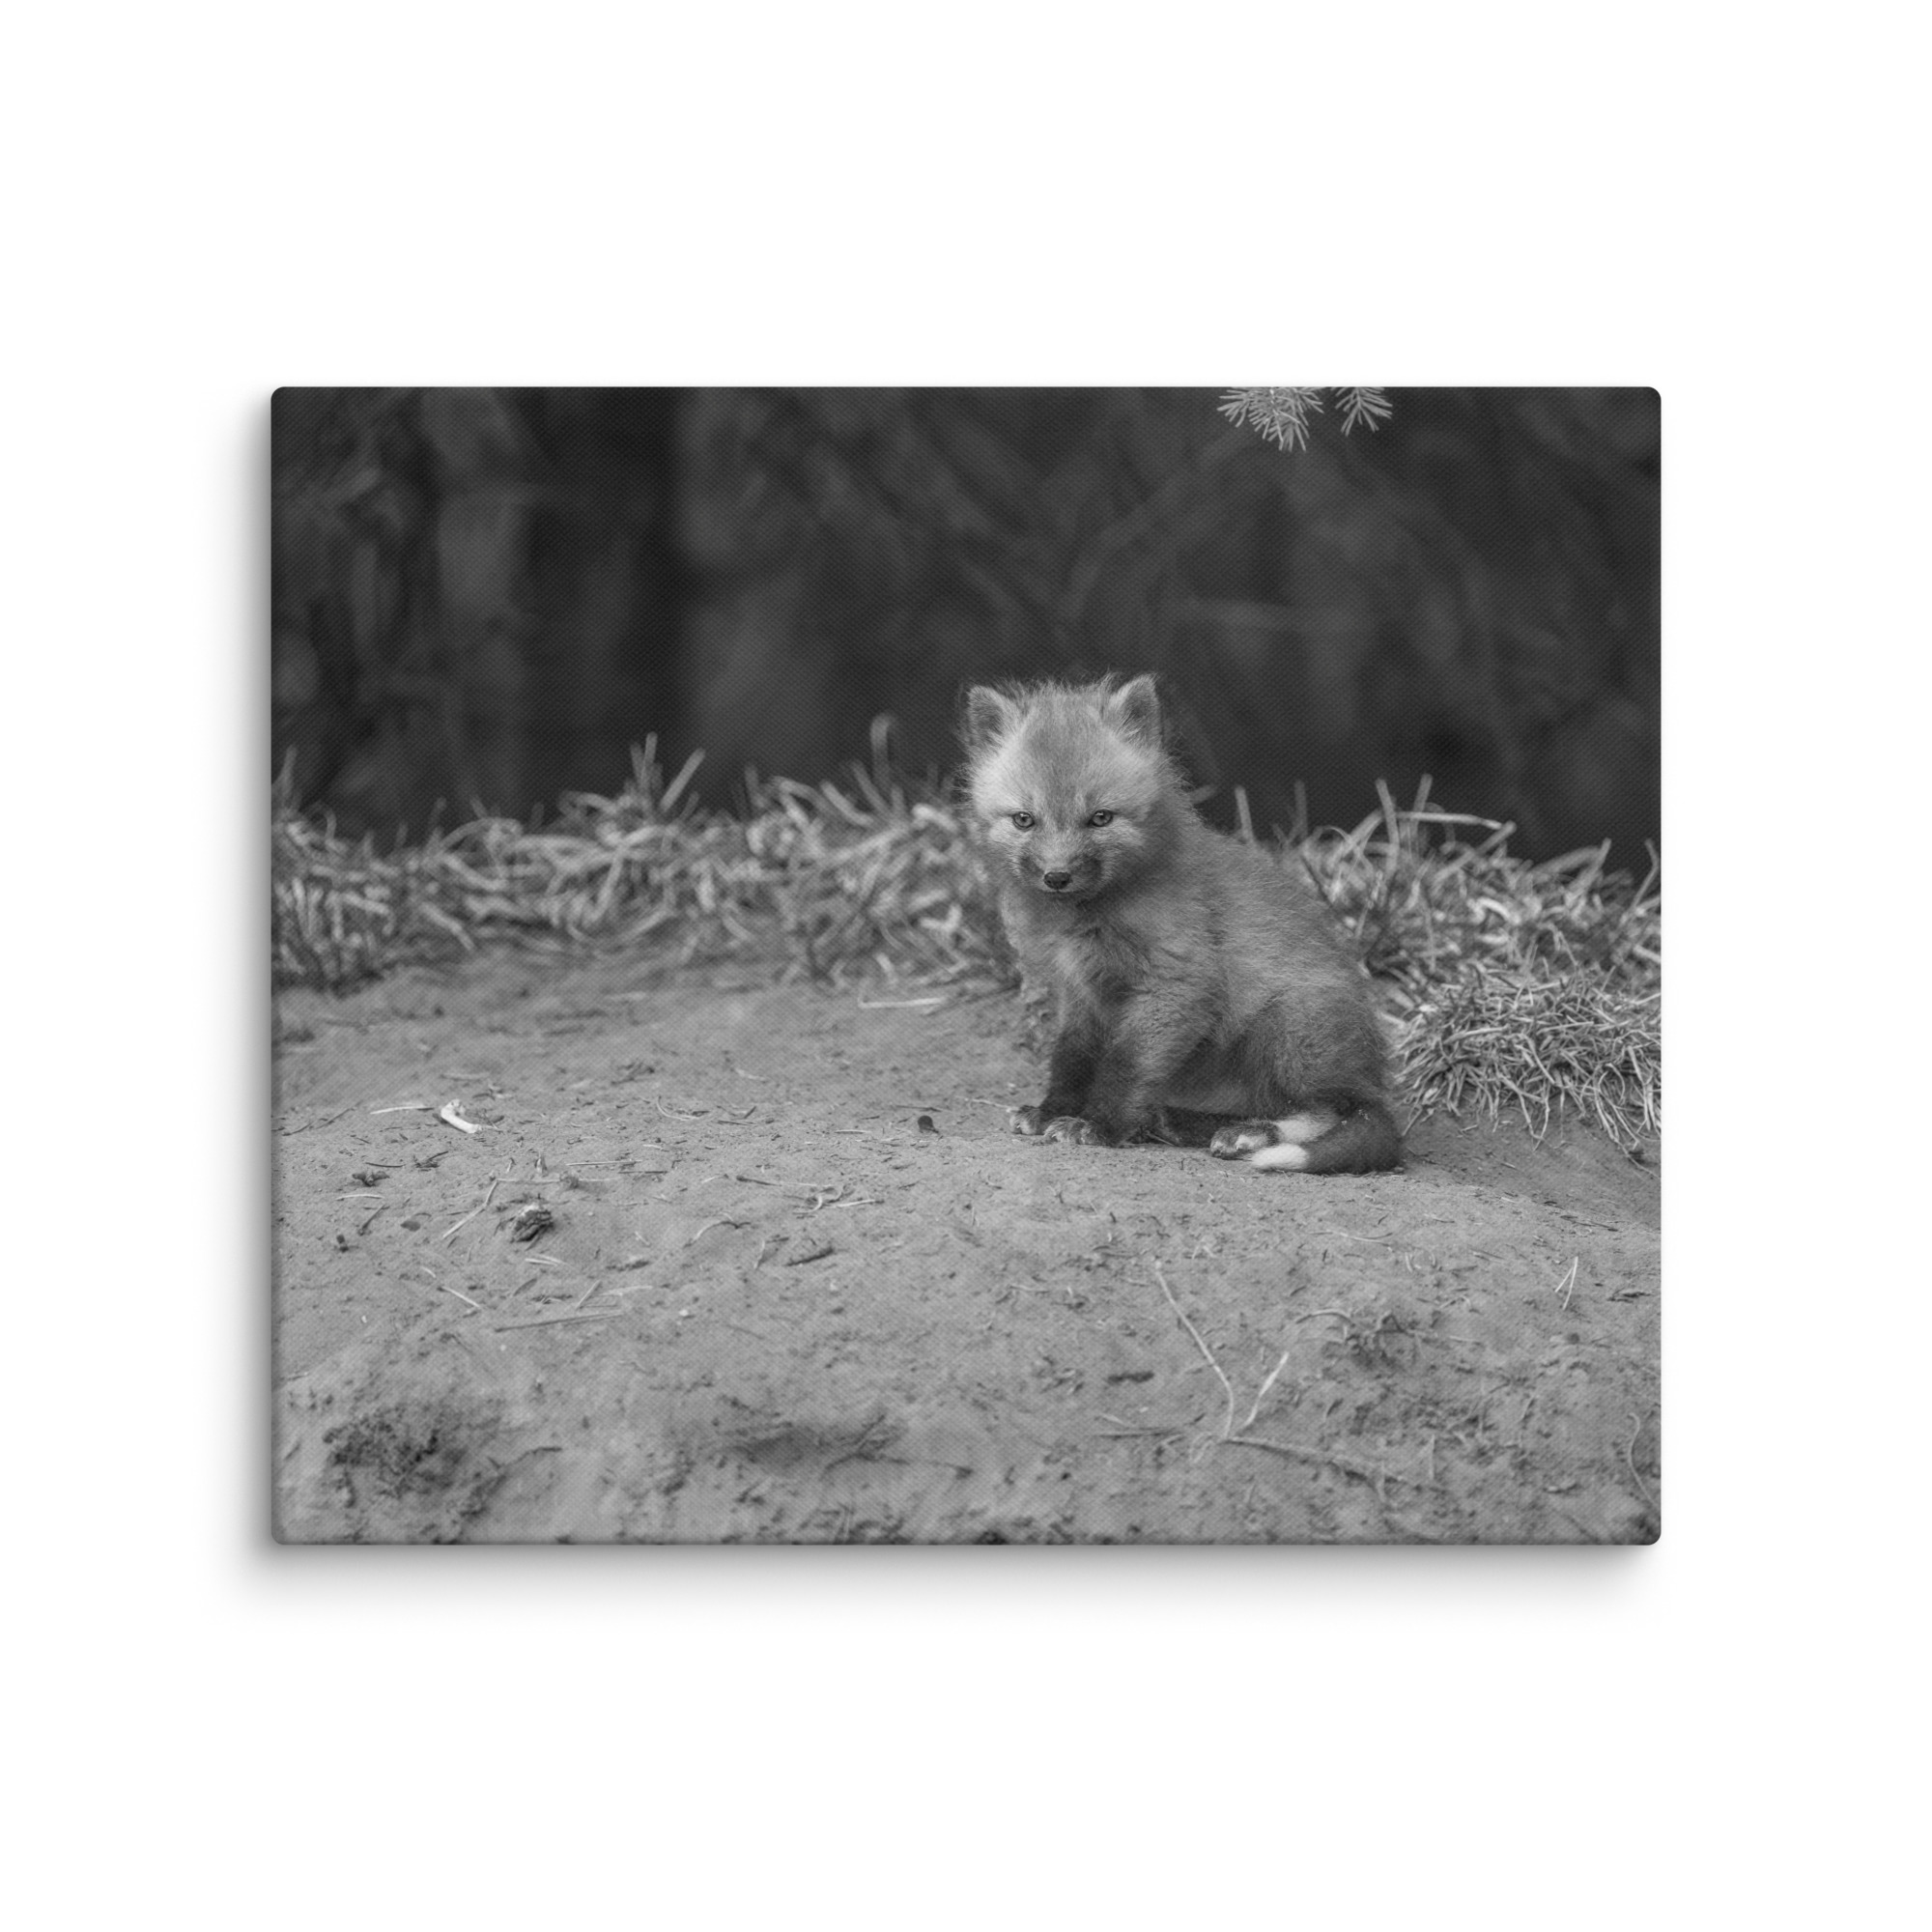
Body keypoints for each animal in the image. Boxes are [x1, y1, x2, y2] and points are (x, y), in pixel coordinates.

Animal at [962, 673, 1401, 1175]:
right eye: (1024, 819)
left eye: (1100, 818)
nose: (1057, 876)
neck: (1091, 918)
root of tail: (1370, 1072)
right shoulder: (1081, 992)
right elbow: (1072, 1058)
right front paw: (1053, 1110)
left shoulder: (1176, 983)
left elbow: (1126, 1065)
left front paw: (1099, 1125)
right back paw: (1178, 1121)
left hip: (1288, 1027)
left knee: (1336, 1110)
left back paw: (1251, 1134)